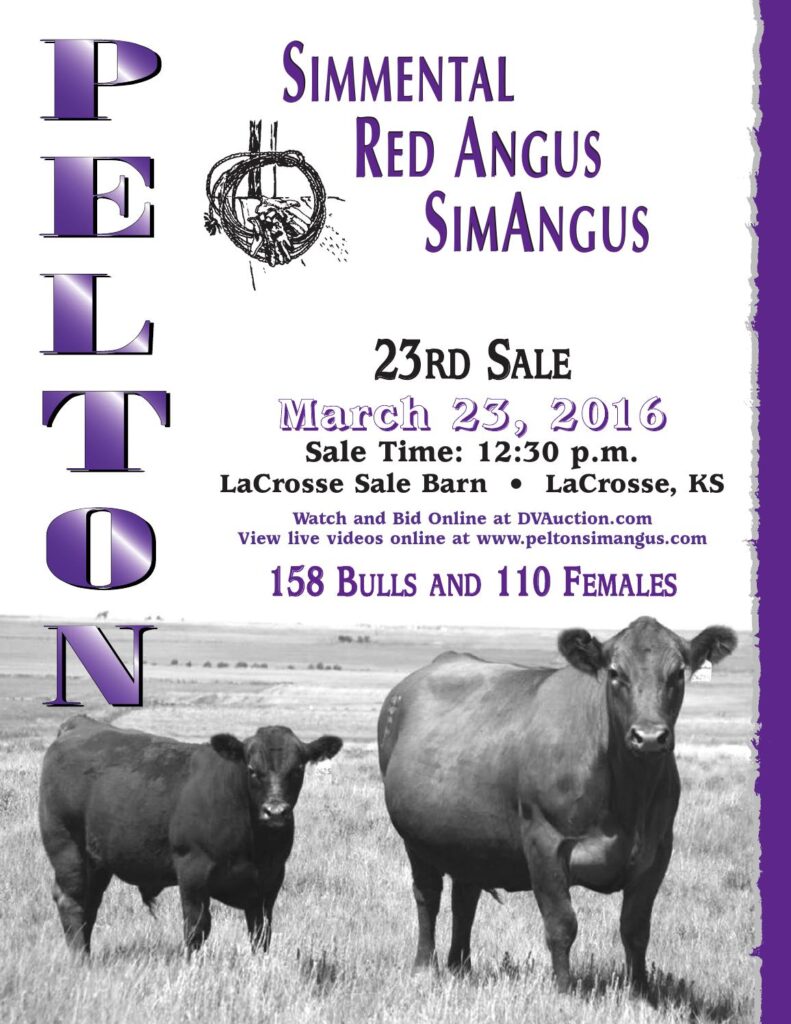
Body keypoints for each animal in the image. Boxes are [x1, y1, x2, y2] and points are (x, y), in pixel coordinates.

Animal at [39, 716, 343, 955]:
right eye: (252, 770)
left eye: (297, 769)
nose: (275, 811)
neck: (254, 845)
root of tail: (79, 724)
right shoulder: (193, 872)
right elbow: (197, 929)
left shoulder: (270, 881)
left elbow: (261, 934)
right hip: (66, 846)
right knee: (72, 901)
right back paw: (80, 960)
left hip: (98, 860)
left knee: (90, 904)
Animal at [377, 617, 737, 993]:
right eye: (615, 672)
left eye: (678, 673)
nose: (650, 737)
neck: (627, 798)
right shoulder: (544, 842)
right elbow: (562, 924)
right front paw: (564, 990)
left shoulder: (657, 850)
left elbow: (636, 929)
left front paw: (640, 992)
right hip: (414, 839)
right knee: (427, 896)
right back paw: (424, 967)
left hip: (470, 840)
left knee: (465, 899)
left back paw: (460, 967)